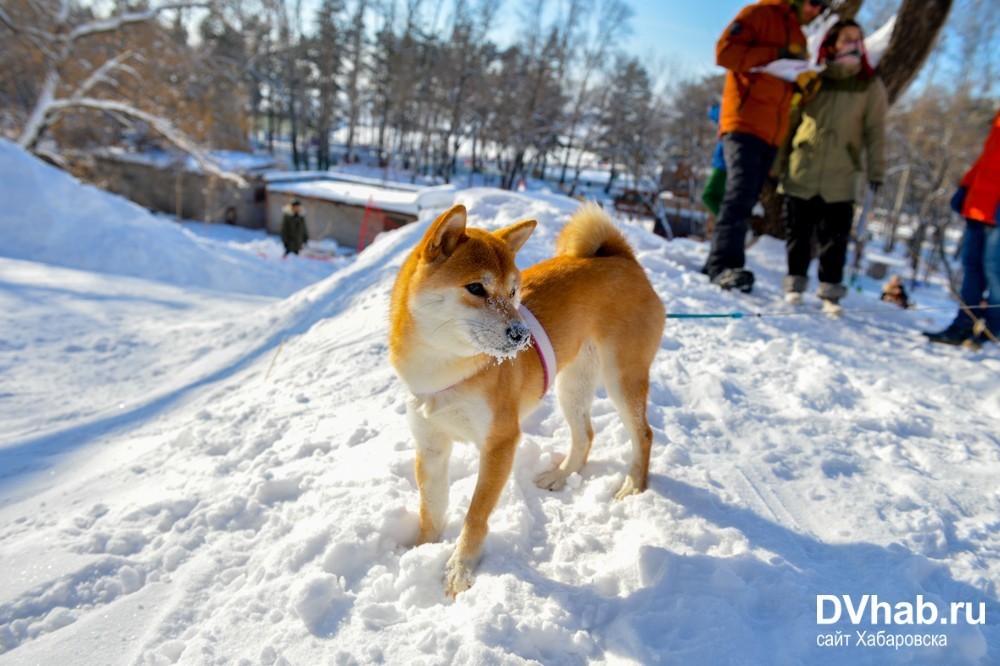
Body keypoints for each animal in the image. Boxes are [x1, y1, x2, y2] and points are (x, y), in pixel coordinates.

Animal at [388, 200, 664, 592]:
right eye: (476, 287)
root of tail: (625, 260)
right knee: (586, 434)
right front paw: (423, 550)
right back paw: (561, 475)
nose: (522, 335)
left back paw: (633, 488)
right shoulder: (431, 446)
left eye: (513, 292)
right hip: (572, 386)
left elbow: (475, 514)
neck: (447, 368)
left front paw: (460, 567)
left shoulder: (500, 442)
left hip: (622, 379)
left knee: (643, 434)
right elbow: (432, 510)